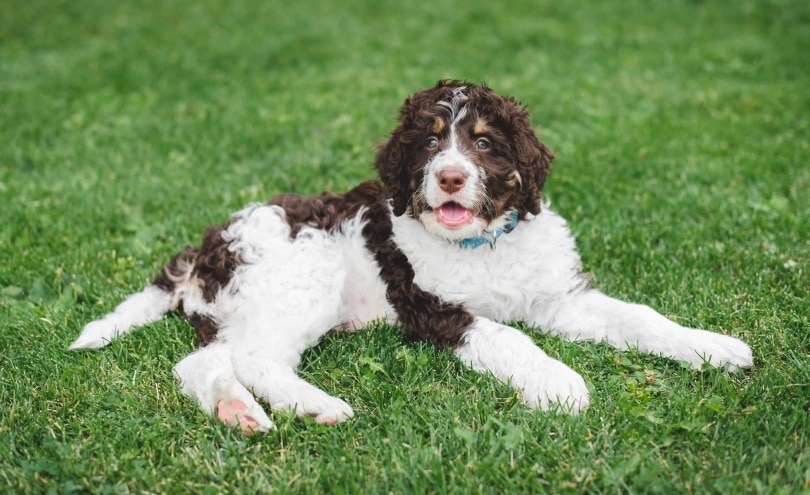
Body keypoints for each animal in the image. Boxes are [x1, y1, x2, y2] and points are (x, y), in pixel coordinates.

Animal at [69, 79, 752, 432]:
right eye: (428, 141)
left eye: (484, 142)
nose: (450, 177)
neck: (482, 244)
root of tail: (207, 246)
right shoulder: (434, 307)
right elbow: (511, 338)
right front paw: (561, 384)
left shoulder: (560, 297)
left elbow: (639, 318)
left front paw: (712, 348)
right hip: (302, 275)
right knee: (257, 359)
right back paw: (317, 405)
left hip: (243, 306)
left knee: (202, 362)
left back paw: (238, 412)